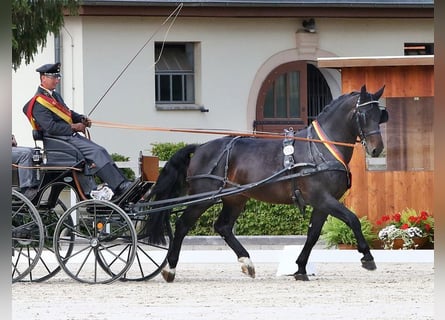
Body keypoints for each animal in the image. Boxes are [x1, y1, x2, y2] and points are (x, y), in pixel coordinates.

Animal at [146, 84, 386, 282]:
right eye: (363, 114)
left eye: (379, 114)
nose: (377, 149)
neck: (320, 148)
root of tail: (200, 147)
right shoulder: (322, 198)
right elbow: (352, 220)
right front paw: (367, 256)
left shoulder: (322, 203)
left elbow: (313, 234)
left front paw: (300, 269)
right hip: (202, 199)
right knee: (182, 225)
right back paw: (170, 269)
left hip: (235, 199)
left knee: (223, 226)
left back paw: (247, 262)